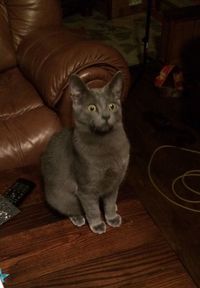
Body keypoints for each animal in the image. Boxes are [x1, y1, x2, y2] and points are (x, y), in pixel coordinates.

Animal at [41, 71, 130, 234]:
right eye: (92, 108)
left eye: (112, 106)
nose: (106, 116)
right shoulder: (86, 188)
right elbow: (92, 209)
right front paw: (97, 225)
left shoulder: (115, 181)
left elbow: (109, 201)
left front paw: (111, 217)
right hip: (61, 198)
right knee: (70, 209)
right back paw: (78, 218)